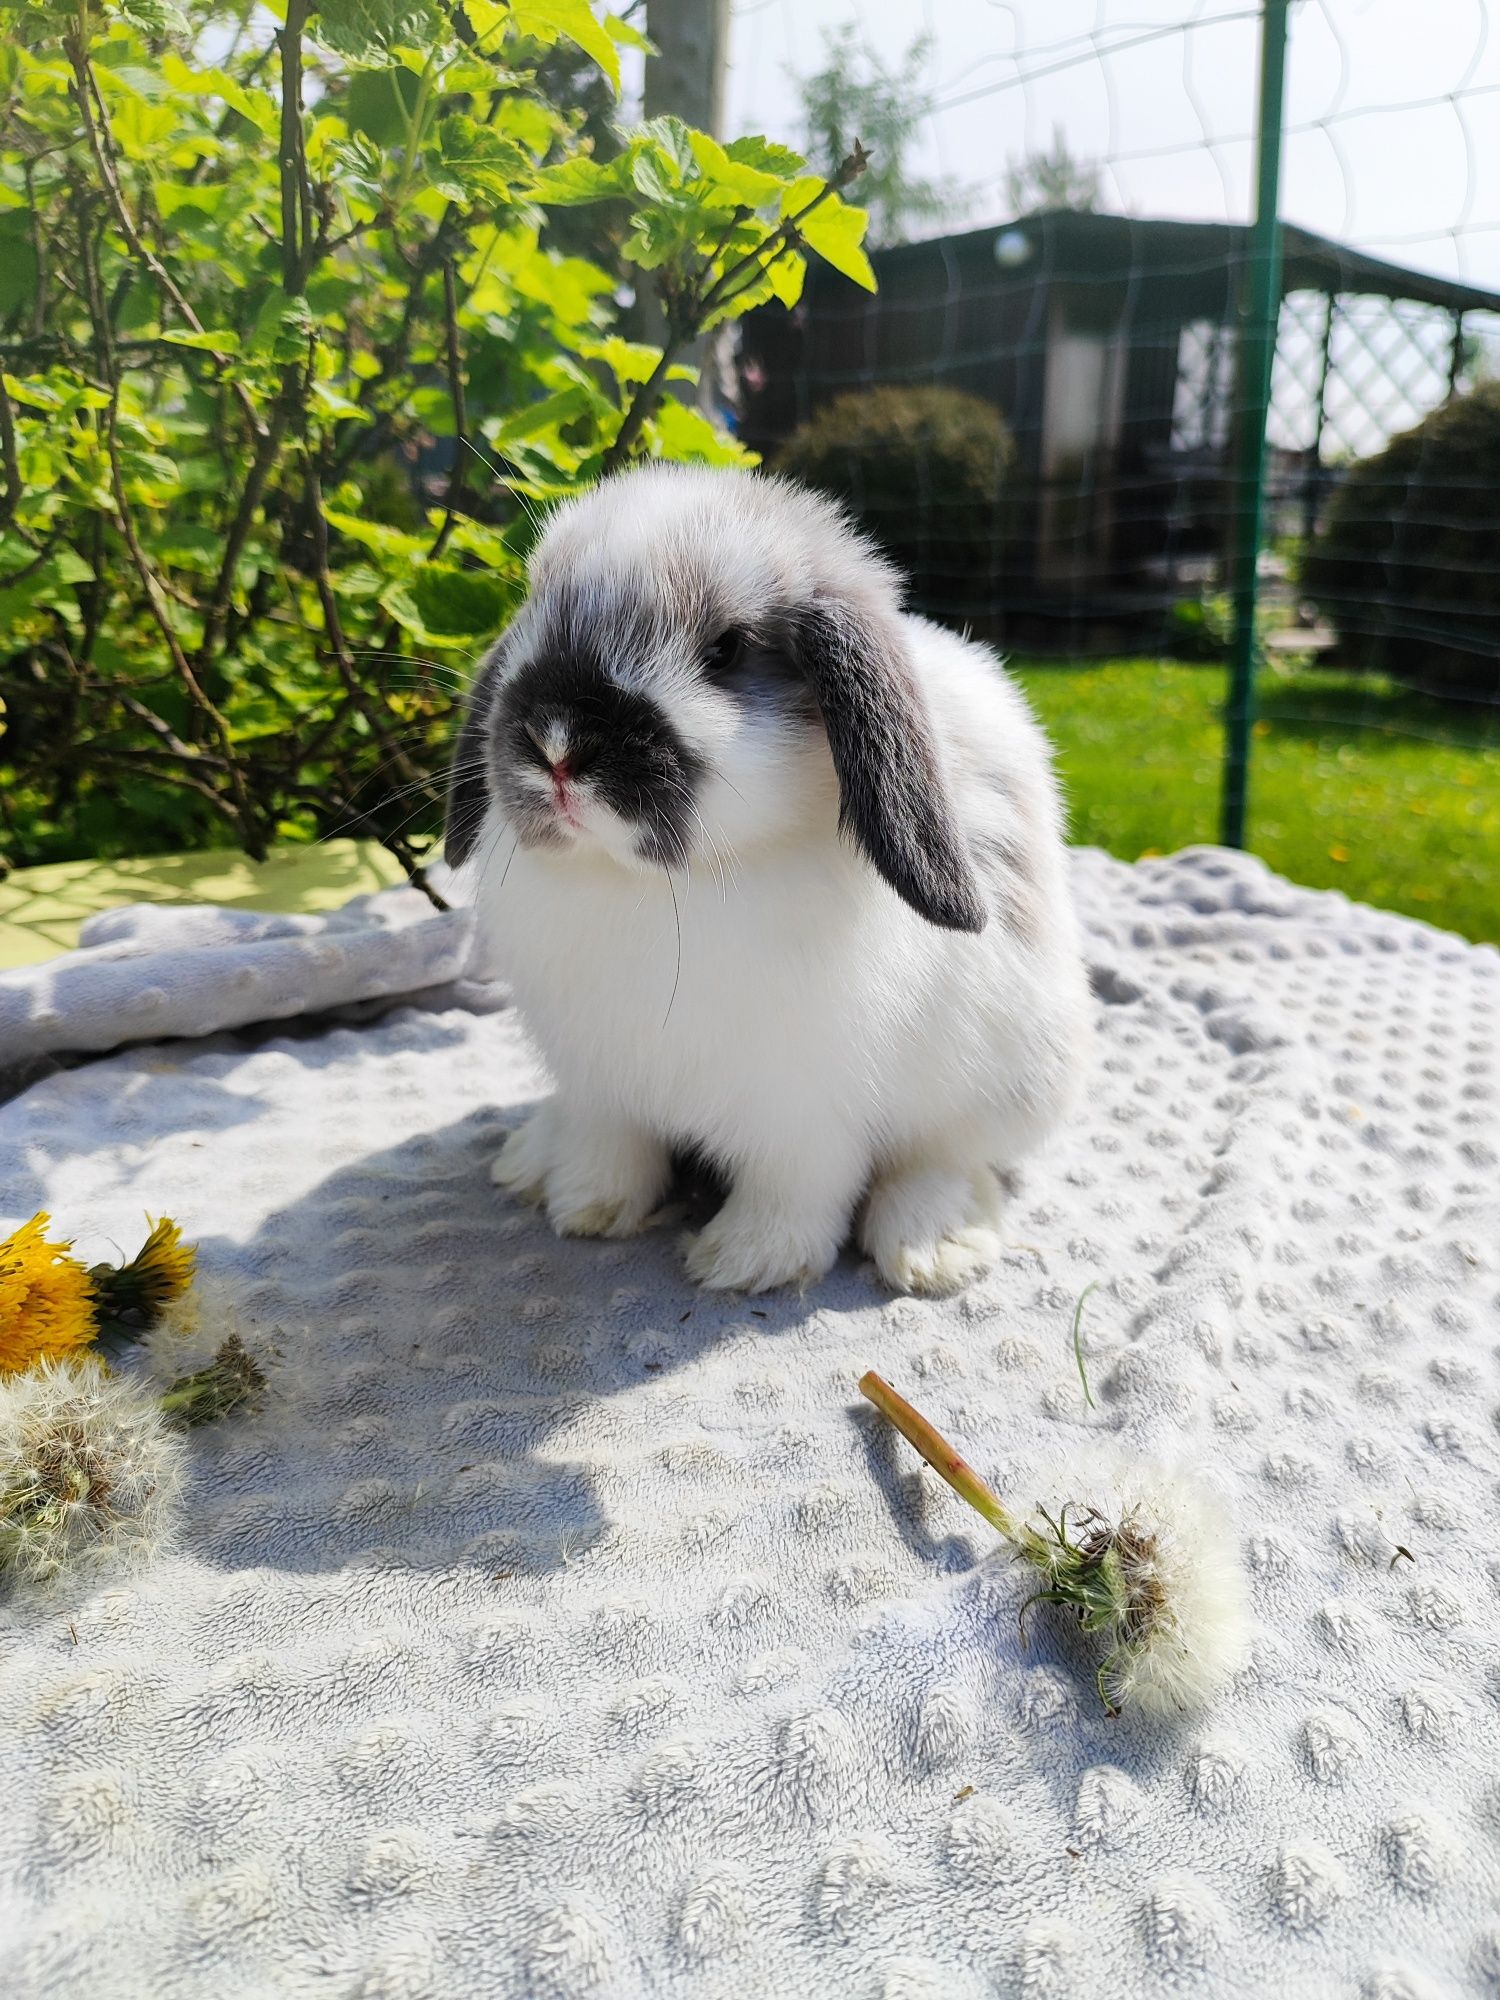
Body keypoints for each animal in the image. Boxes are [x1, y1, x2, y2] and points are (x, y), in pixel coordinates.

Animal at [446, 460, 1096, 1288]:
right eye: (533, 612)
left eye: (726, 650)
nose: (557, 744)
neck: (663, 884)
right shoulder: (601, 1083)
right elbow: (610, 1146)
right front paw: (586, 1207)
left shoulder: (804, 1114)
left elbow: (796, 1184)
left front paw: (745, 1259)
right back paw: (530, 1160)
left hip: (1010, 1080)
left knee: (944, 1158)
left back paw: (932, 1247)